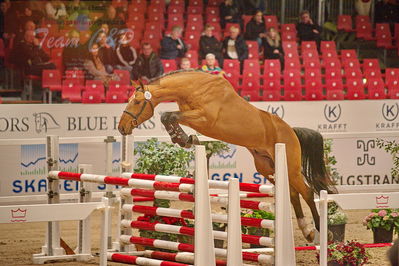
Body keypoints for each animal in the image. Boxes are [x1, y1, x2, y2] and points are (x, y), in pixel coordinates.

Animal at [119, 69, 338, 242]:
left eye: (136, 102)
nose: (122, 127)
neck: (195, 88)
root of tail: (291, 131)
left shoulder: (204, 119)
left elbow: (168, 115)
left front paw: (184, 138)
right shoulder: (191, 116)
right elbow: (169, 117)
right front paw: (184, 138)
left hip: (290, 168)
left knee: (307, 192)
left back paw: (321, 232)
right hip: (267, 167)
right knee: (292, 194)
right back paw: (307, 231)